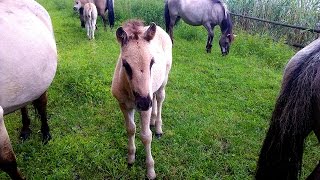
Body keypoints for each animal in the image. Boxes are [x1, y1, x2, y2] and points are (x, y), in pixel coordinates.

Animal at [0, 0, 57, 179]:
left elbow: (8, 162)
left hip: (42, 81)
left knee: (42, 105)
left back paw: (46, 133)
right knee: (24, 102)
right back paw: (25, 129)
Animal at [112, 20, 172, 180]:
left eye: (152, 62)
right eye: (125, 64)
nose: (144, 102)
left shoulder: (145, 107)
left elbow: (146, 136)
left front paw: (150, 171)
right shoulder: (124, 105)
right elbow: (130, 129)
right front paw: (130, 159)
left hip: (163, 80)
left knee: (159, 98)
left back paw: (158, 128)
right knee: (155, 98)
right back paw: (153, 120)